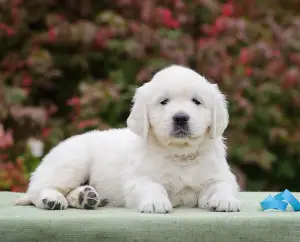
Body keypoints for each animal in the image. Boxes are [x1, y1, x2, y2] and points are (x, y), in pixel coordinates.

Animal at [17, 65, 241, 213]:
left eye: (196, 101)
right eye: (164, 101)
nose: (180, 118)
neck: (180, 154)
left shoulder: (219, 174)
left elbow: (222, 185)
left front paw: (226, 200)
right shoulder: (138, 178)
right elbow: (152, 185)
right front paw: (155, 203)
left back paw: (85, 197)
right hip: (72, 162)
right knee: (37, 187)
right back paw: (51, 199)